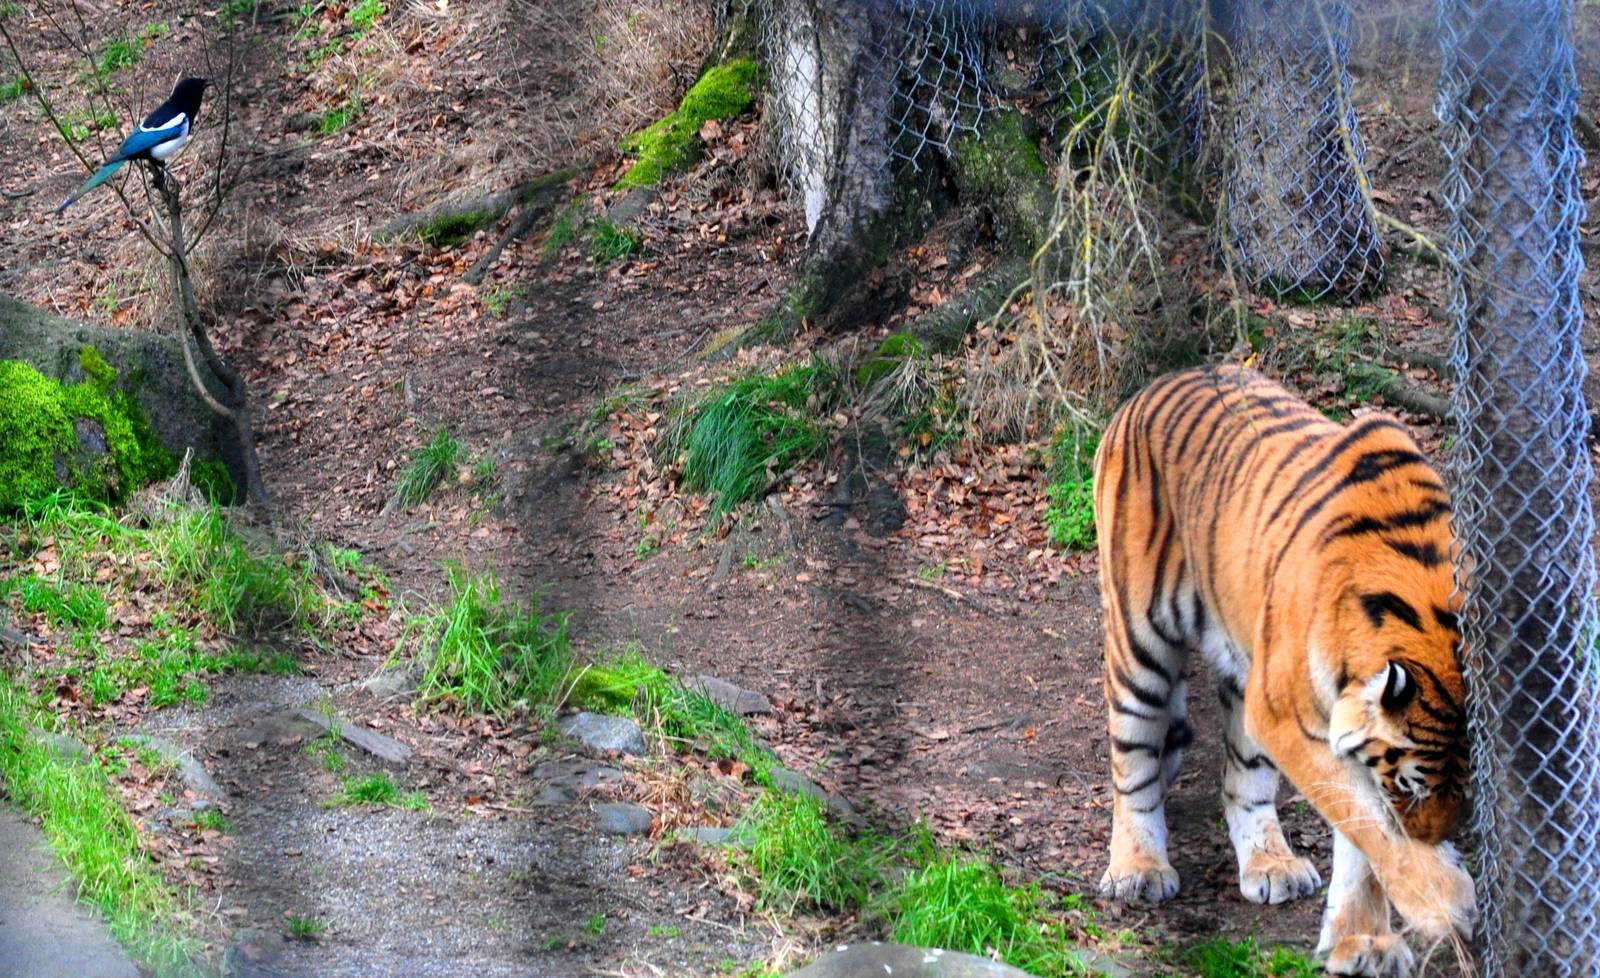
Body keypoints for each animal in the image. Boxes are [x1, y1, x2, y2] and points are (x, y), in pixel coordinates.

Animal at [1091, 365, 1474, 978]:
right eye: (1412, 787)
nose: (1435, 836)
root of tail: (1151, 387)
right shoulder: (1286, 716)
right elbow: (1370, 825)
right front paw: (1443, 902)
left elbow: (1361, 839)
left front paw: (1363, 942)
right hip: (1138, 646)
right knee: (1134, 764)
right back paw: (1138, 870)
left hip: (1243, 669)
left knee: (1242, 781)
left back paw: (1271, 865)